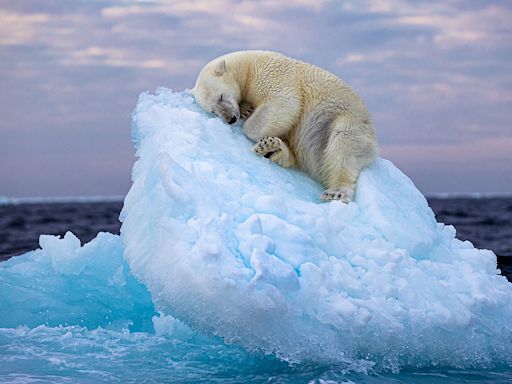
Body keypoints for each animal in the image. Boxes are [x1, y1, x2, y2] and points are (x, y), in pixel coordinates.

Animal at [194, 50, 378, 204]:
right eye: (213, 110)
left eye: (220, 96)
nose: (231, 119)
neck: (247, 66)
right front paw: (247, 110)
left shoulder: (271, 75)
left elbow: (284, 103)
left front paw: (249, 122)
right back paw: (270, 148)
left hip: (346, 120)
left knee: (343, 144)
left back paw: (336, 192)